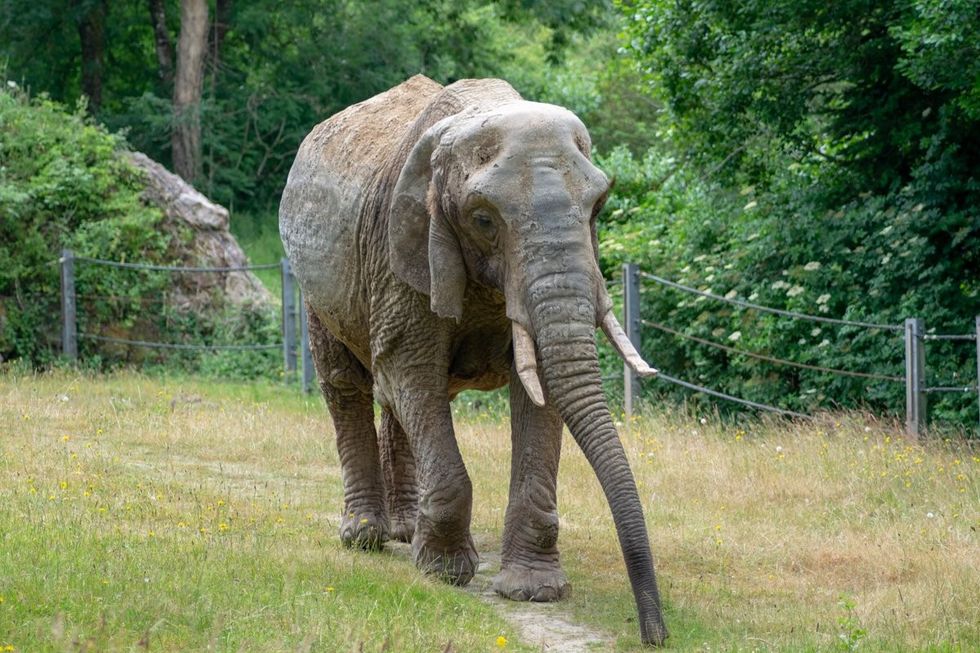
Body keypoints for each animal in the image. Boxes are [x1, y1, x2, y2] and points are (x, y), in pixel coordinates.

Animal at [278, 75, 668, 646]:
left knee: (396, 400)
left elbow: (539, 391)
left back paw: (405, 531)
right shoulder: (402, 247)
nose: (655, 634)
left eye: (598, 207)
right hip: (318, 284)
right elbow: (411, 371)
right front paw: (443, 572)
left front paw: (533, 591)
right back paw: (366, 537)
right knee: (347, 384)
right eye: (483, 220)